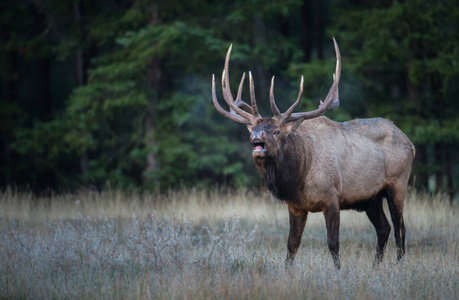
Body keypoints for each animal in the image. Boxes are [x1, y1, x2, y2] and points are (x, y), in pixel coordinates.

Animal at [212, 38, 416, 268]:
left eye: (277, 131)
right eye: (252, 129)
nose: (257, 136)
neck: (299, 176)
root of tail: (410, 144)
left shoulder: (333, 197)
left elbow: (333, 243)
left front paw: (338, 271)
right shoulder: (295, 206)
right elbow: (292, 244)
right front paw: (287, 270)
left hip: (398, 184)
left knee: (400, 229)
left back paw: (398, 265)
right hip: (371, 198)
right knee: (384, 229)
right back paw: (375, 267)